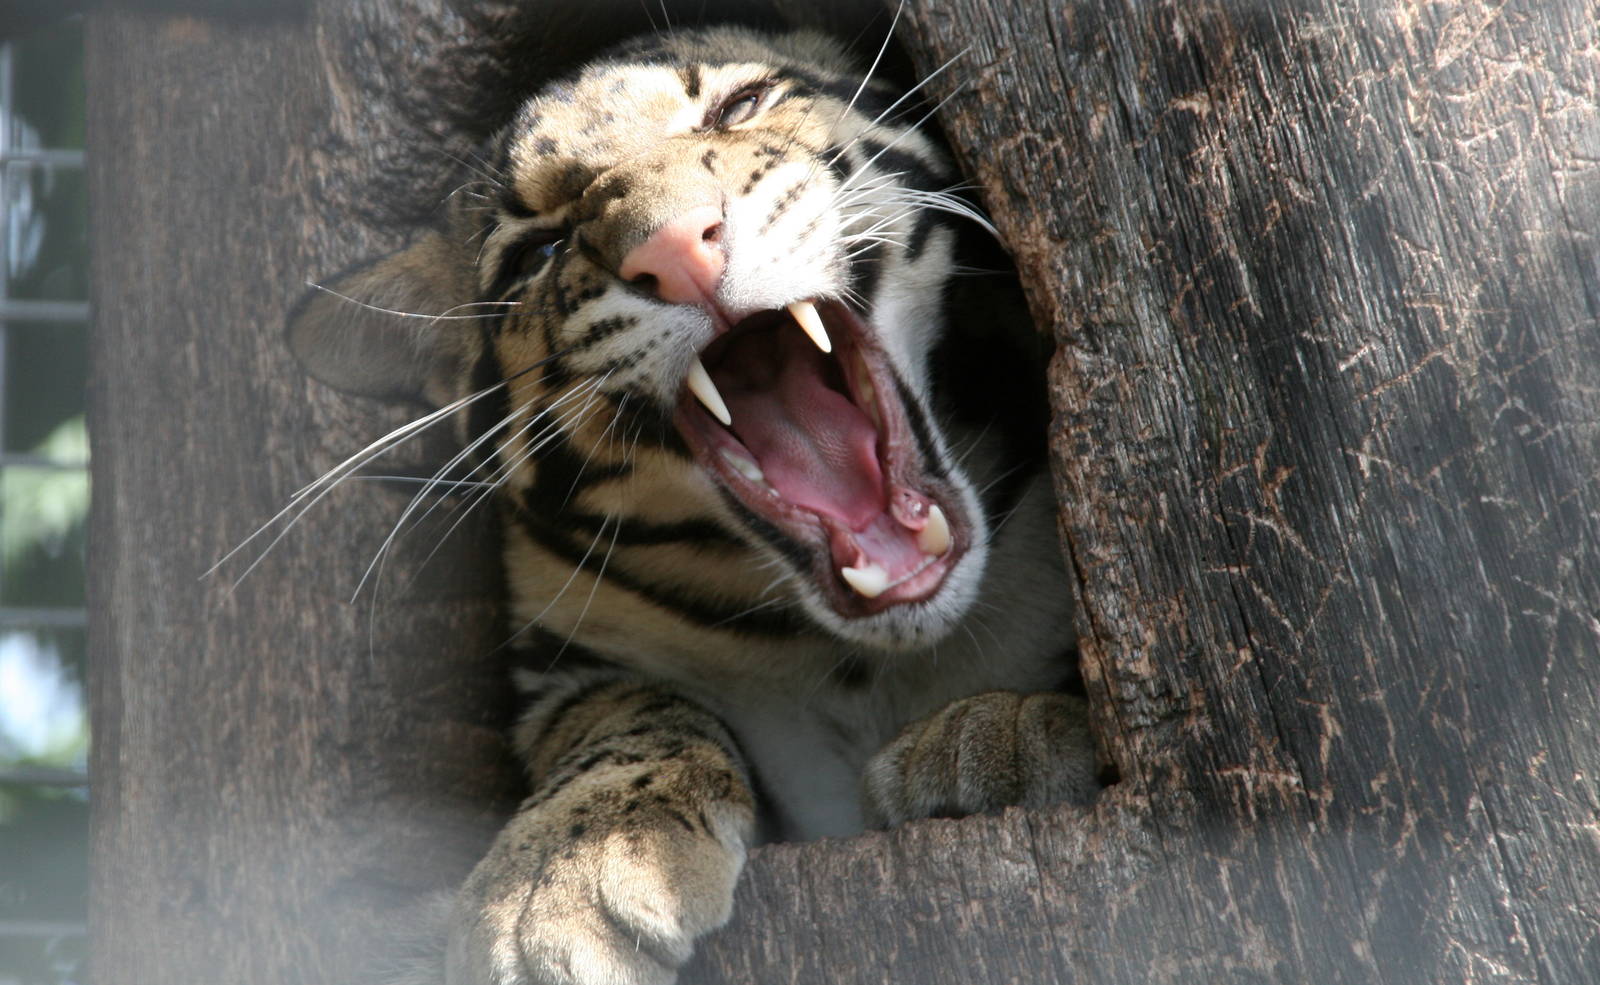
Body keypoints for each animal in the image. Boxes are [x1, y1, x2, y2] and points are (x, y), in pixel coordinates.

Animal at [286, 24, 1100, 985]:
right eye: (536, 254)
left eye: (739, 107)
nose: (676, 247)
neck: (869, 660)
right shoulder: (566, 644)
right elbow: (623, 710)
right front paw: (563, 874)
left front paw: (1004, 728)